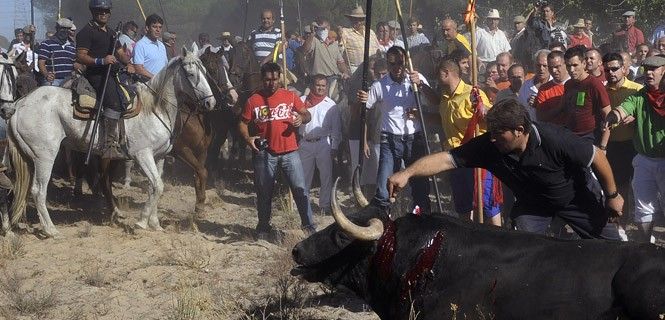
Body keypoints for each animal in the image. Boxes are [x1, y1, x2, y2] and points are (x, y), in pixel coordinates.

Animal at [0, 47, 215, 238]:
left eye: (205, 72)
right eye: (191, 74)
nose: (210, 103)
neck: (154, 108)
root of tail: (19, 104)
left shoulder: (159, 157)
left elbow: (155, 187)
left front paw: (154, 223)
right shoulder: (142, 154)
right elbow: (157, 185)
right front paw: (141, 222)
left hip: (27, 157)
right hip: (44, 156)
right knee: (38, 190)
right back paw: (51, 230)